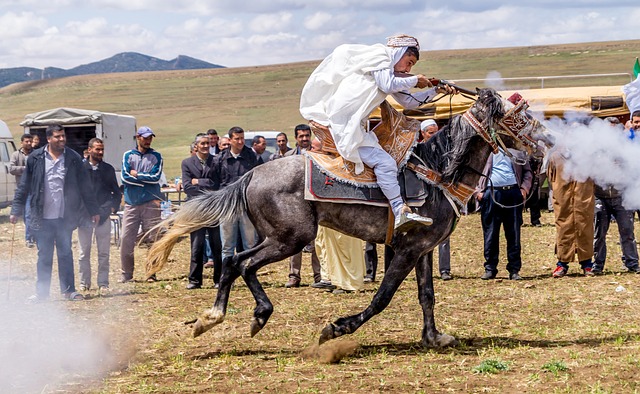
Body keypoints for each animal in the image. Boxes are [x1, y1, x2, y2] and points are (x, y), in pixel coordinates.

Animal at [145, 87, 552, 348]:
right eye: (521, 118)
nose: (547, 145)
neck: (436, 172)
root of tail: (250, 175)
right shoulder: (406, 250)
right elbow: (383, 297)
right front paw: (337, 328)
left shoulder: (422, 250)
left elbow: (427, 296)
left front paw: (435, 338)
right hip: (291, 238)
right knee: (241, 263)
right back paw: (254, 315)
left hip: (278, 237)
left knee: (232, 263)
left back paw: (212, 319)